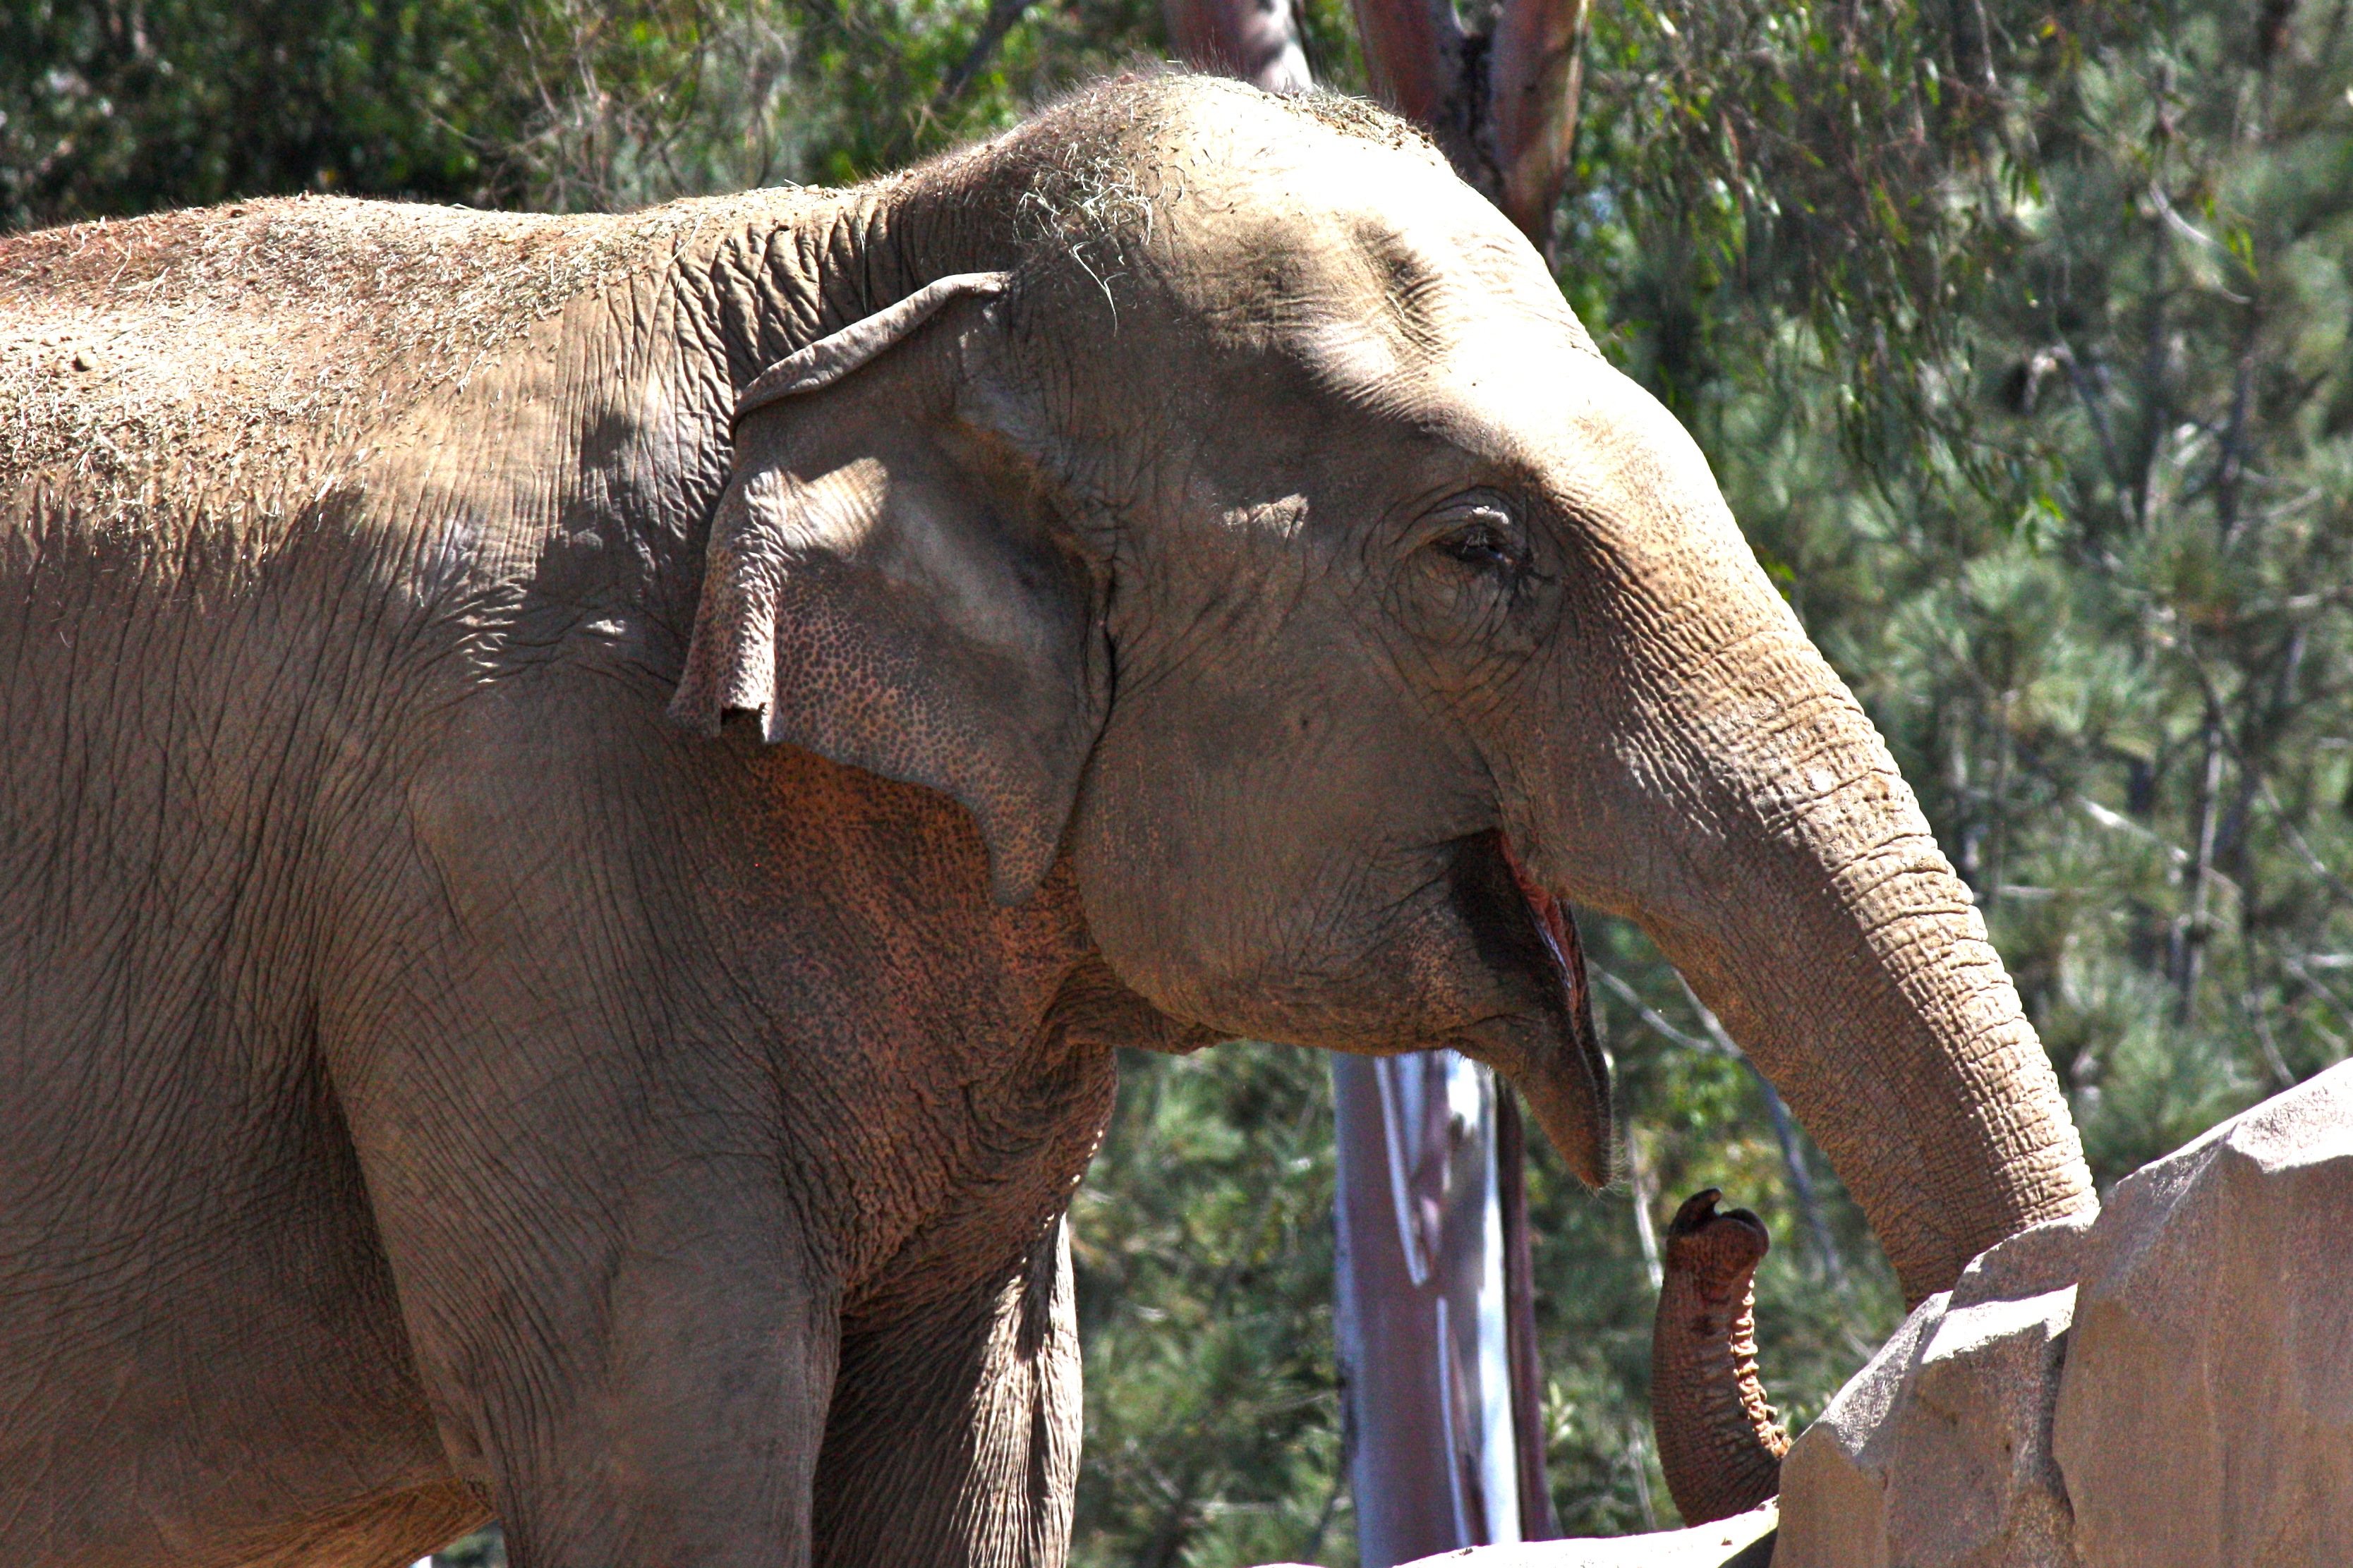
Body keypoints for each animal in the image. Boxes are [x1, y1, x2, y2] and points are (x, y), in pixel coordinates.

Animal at [0, 72, 2095, 1568]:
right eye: (1476, 551)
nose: (1716, 1208)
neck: (864, 252)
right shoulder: (510, 858)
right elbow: (654, 1428)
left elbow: (984, 1450)